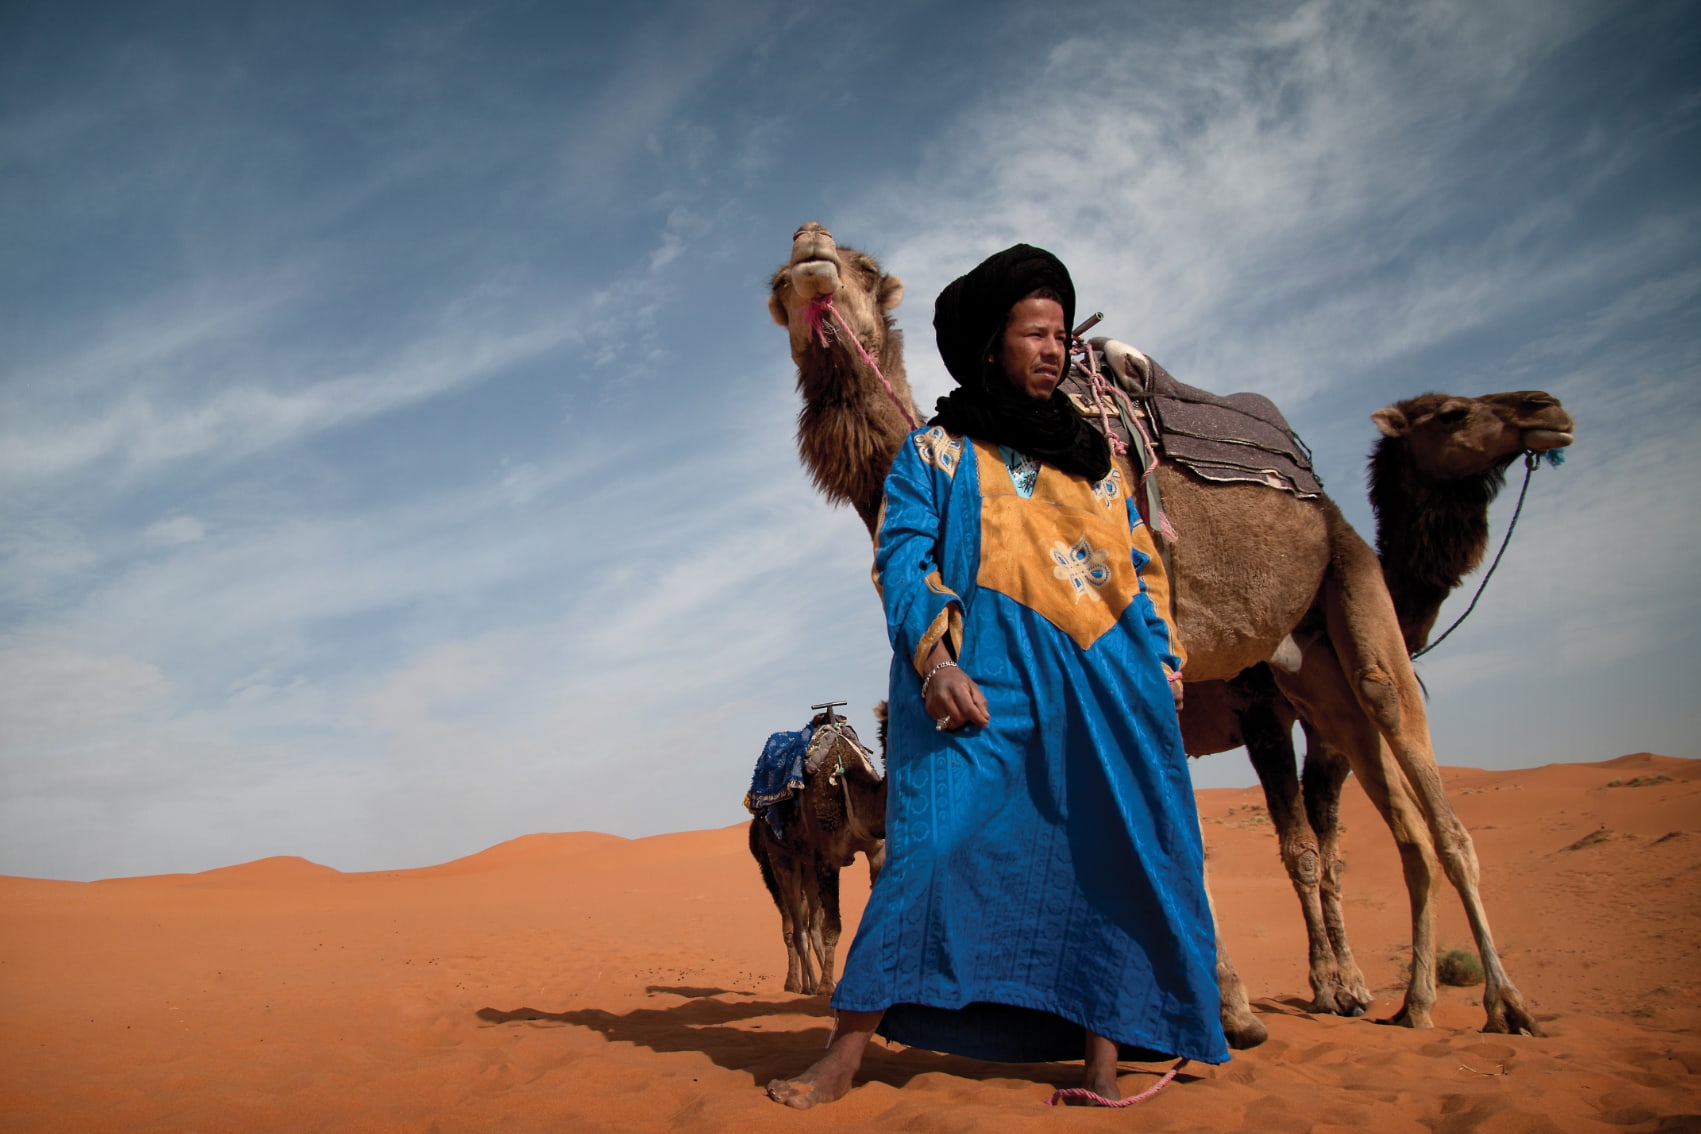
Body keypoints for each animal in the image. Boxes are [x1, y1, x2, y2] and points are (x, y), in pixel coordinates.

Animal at [748, 703, 891, 999]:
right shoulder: (828, 860)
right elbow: (832, 927)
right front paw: (825, 988)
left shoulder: (877, 851)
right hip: (780, 860)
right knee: (795, 928)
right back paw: (798, 984)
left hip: (807, 865)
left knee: (809, 924)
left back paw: (815, 983)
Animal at [765, 217, 1558, 1040]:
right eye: (779, 285)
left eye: (864, 267)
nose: (809, 244)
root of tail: (1326, 501)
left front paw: (1232, 1009)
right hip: (1315, 675)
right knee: (1402, 825)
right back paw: (1415, 1000)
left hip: (1348, 591)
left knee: (1425, 789)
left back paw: (1501, 1002)